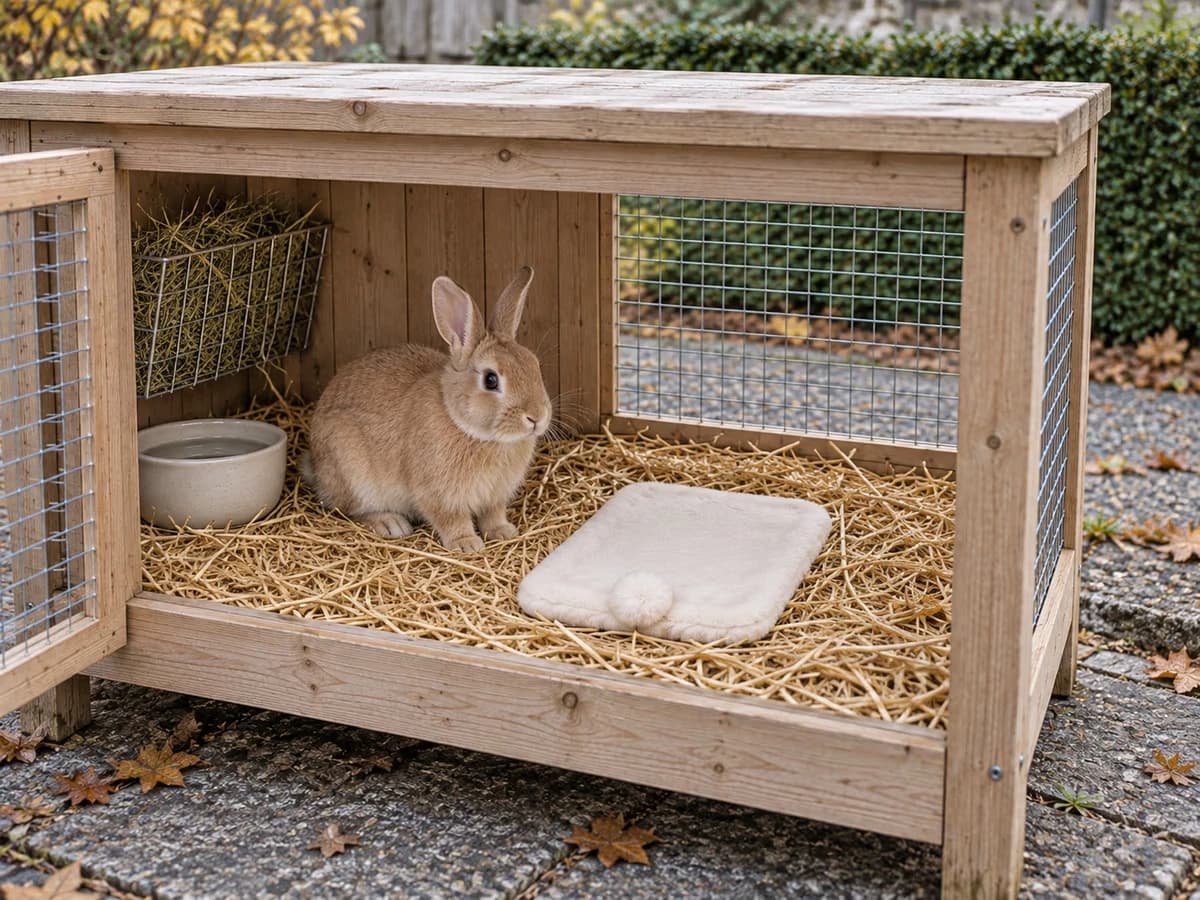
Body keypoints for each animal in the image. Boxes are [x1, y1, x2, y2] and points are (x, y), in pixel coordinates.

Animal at [303, 266, 552, 551]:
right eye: (491, 380)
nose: (537, 417)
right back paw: (390, 523)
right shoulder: (438, 494)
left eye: (535, 365)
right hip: (352, 472)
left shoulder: (495, 496)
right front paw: (467, 544)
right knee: (348, 510)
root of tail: (316, 468)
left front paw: (503, 532)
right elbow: (451, 519)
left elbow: (493, 514)